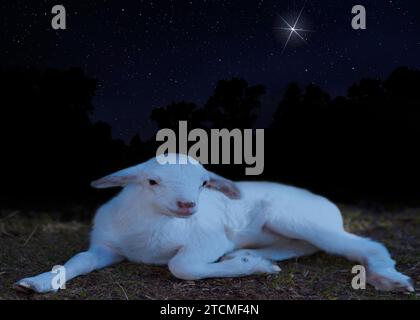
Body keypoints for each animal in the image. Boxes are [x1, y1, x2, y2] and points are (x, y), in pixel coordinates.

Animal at [15, 154, 414, 294]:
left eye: (204, 182)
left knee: (364, 245)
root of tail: (326, 204)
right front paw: (37, 283)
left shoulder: (208, 241)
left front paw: (247, 268)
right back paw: (253, 257)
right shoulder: (105, 246)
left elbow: (182, 266)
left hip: (298, 218)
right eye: (152, 181)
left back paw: (388, 279)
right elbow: (78, 261)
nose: (188, 205)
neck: (151, 228)